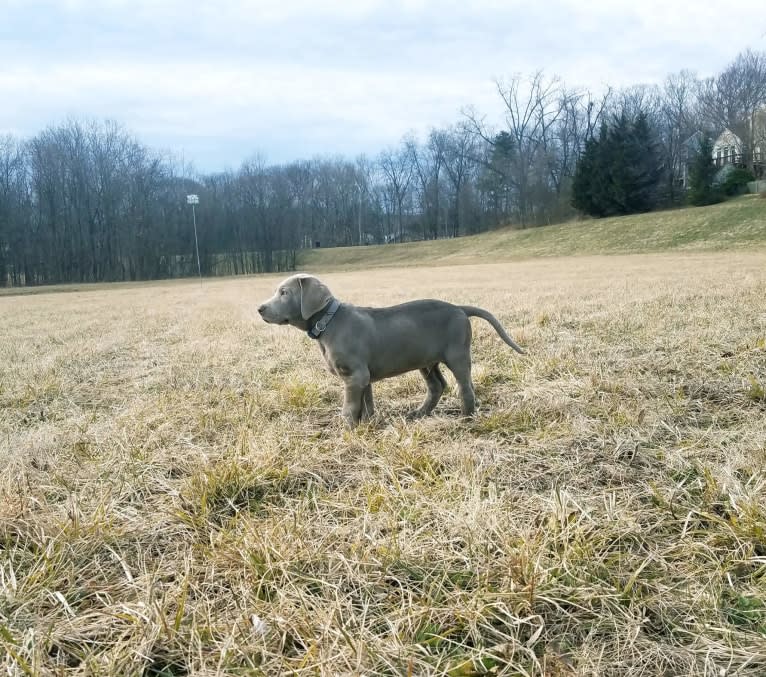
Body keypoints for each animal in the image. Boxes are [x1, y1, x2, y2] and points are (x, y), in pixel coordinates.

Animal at [260, 274, 524, 422]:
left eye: (284, 293)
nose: (259, 308)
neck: (328, 321)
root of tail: (459, 308)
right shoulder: (362, 377)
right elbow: (366, 404)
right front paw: (367, 424)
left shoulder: (355, 375)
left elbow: (349, 407)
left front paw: (345, 428)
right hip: (427, 361)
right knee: (437, 386)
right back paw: (419, 413)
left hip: (457, 355)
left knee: (465, 385)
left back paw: (466, 417)